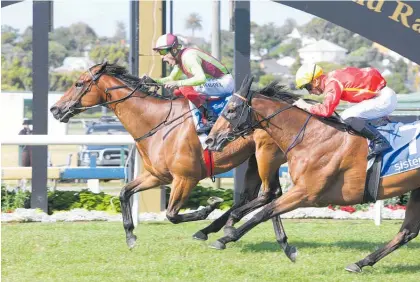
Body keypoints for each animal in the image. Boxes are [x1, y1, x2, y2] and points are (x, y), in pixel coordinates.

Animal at [50, 61, 298, 260]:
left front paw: (209, 206)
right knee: (261, 195)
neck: (157, 123)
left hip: (265, 156)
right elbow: (124, 192)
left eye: (79, 84)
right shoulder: (157, 176)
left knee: (269, 194)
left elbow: (171, 215)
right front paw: (130, 235)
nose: (55, 109)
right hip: (255, 161)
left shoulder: (185, 178)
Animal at [207, 77, 420, 274]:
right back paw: (360, 263)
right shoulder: (300, 191)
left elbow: (264, 212)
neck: (311, 137)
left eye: (231, 109)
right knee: (407, 232)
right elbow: (266, 208)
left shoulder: (306, 193)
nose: (210, 139)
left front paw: (225, 237)